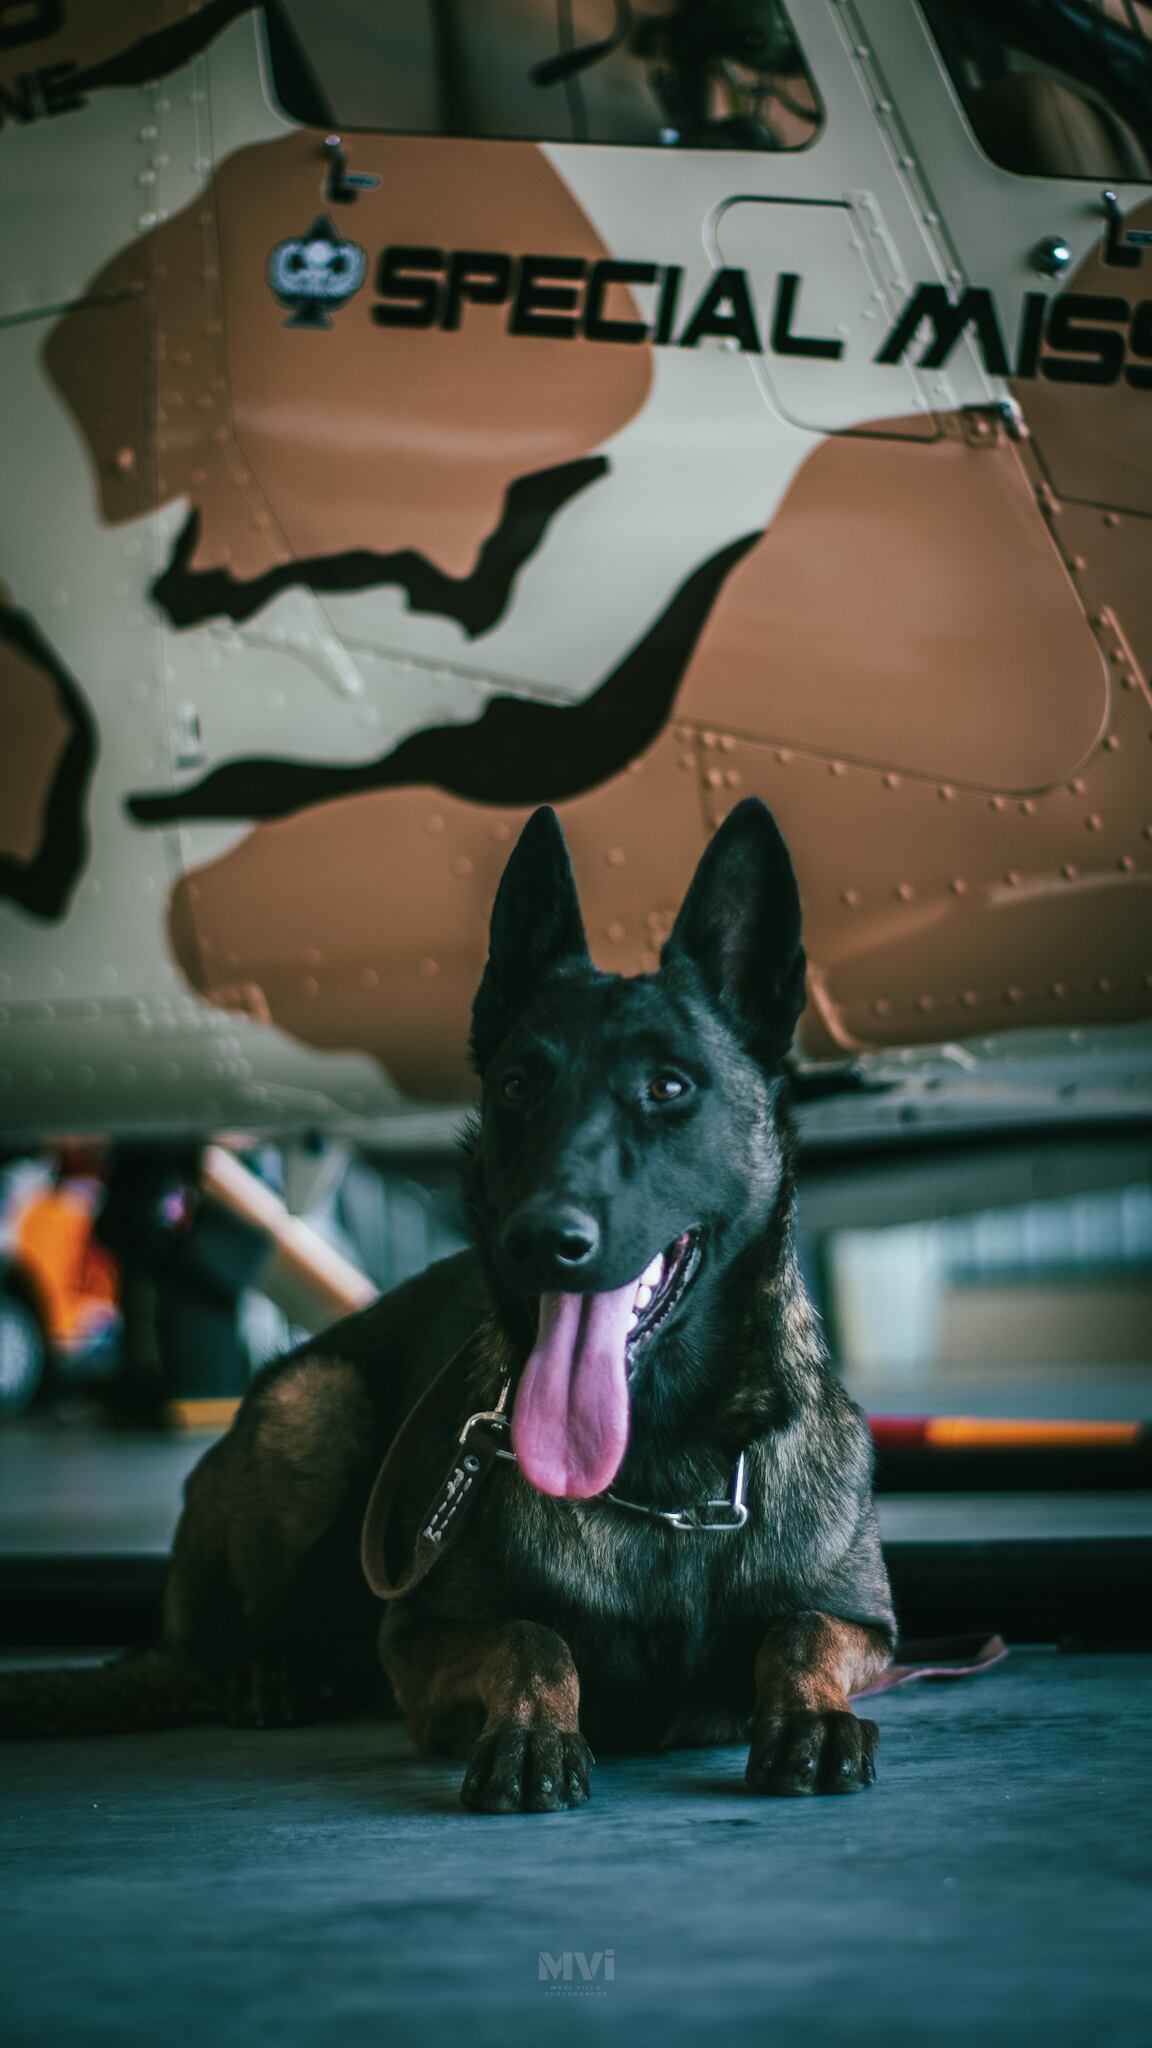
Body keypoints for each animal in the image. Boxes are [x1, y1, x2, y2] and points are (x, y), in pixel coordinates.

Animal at [0, 798, 889, 1810]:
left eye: (668, 1087)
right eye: (517, 1085)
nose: (539, 1239)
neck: (657, 1473)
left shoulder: (871, 1629)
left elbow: (803, 1628)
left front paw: (812, 1715)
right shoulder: (420, 1642)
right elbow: (530, 1637)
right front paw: (532, 1731)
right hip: (314, 1409)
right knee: (221, 1649)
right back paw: (271, 1674)